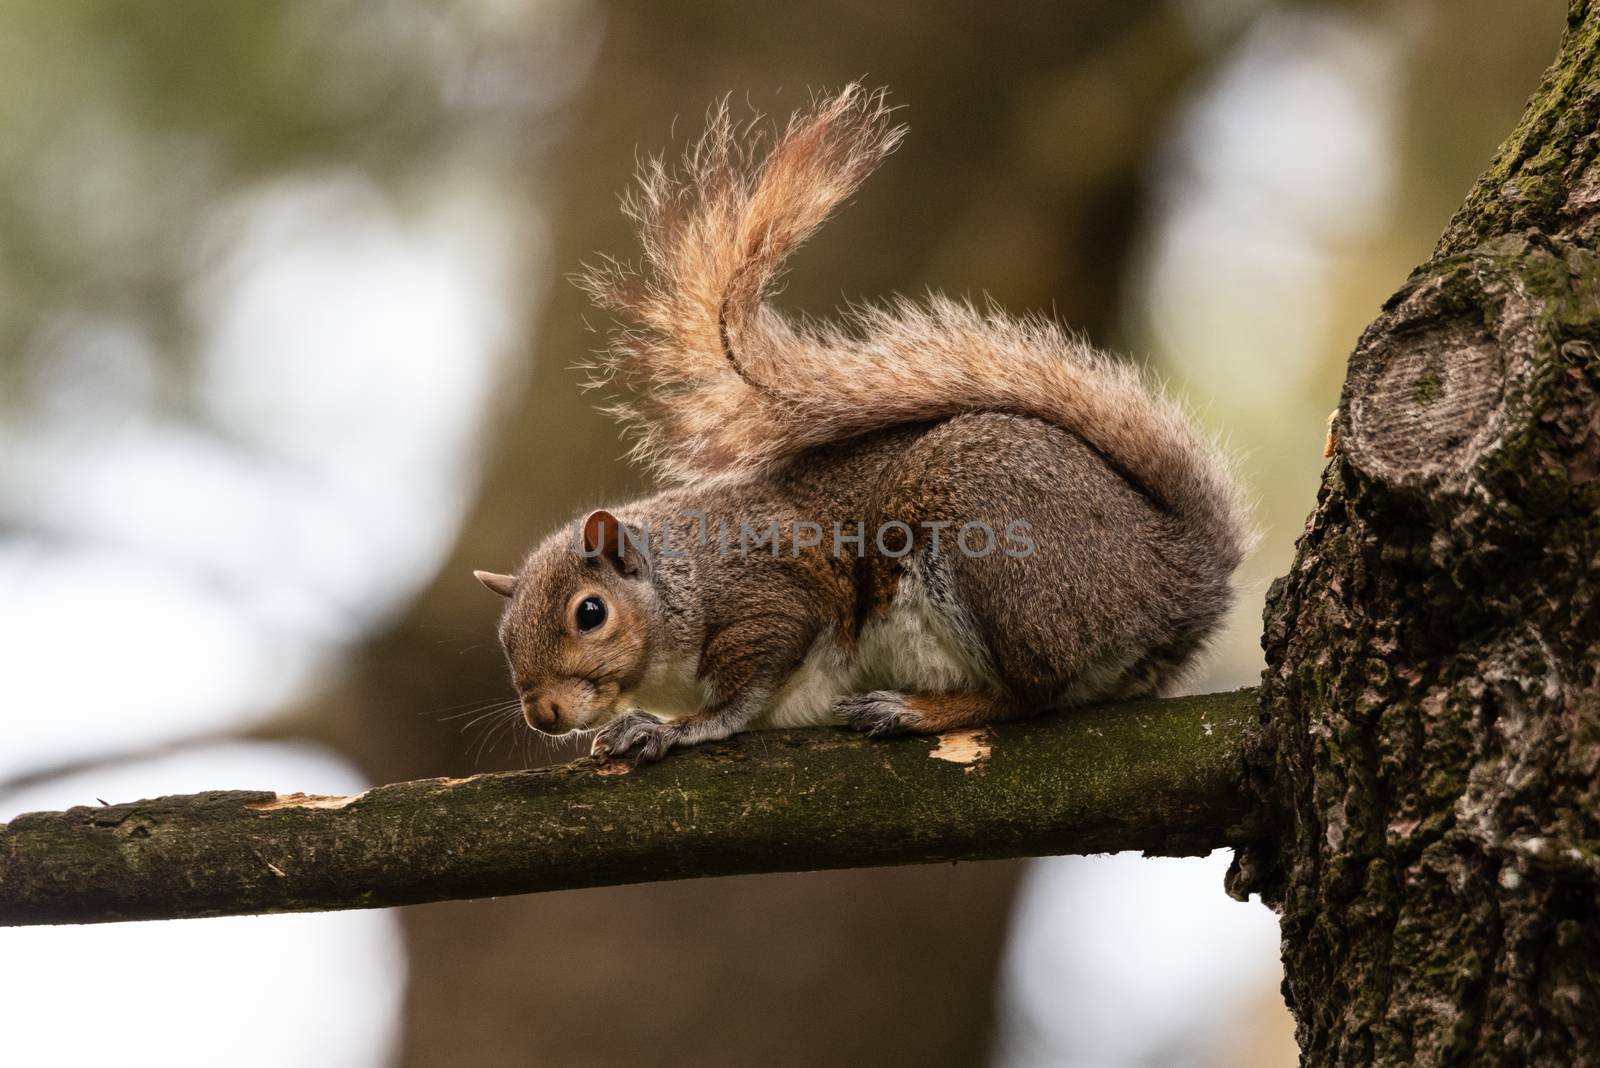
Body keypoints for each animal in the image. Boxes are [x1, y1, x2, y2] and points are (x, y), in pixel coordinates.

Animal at [473, 87, 1248, 764]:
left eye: (590, 613)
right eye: (504, 637)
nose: (543, 714)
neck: (680, 578)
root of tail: (1173, 575)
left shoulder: (771, 595)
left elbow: (741, 692)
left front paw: (676, 729)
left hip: (992, 545)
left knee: (1031, 693)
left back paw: (915, 710)